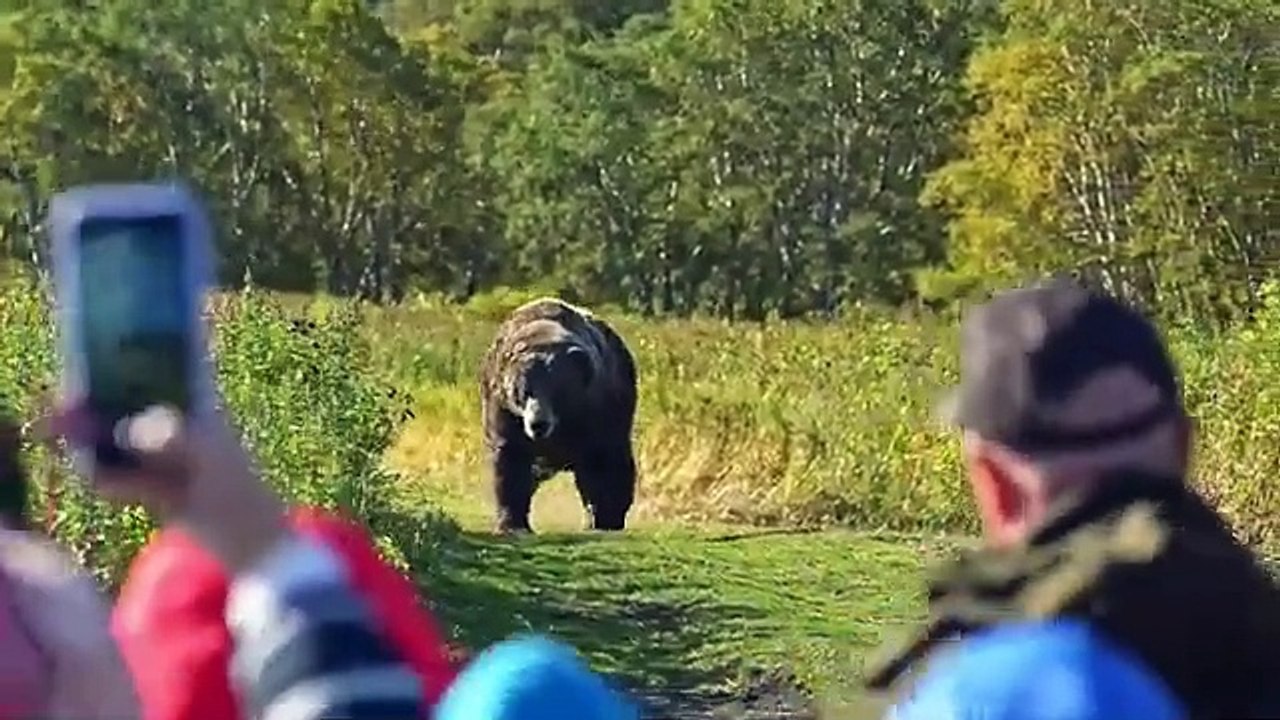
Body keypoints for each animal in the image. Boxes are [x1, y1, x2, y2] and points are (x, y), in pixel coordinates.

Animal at [478, 297, 638, 534]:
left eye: (557, 389)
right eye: (523, 390)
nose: (538, 423)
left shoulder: (598, 412)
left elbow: (605, 466)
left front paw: (606, 519)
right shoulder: (505, 412)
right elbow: (510, 465)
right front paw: (512, 525)